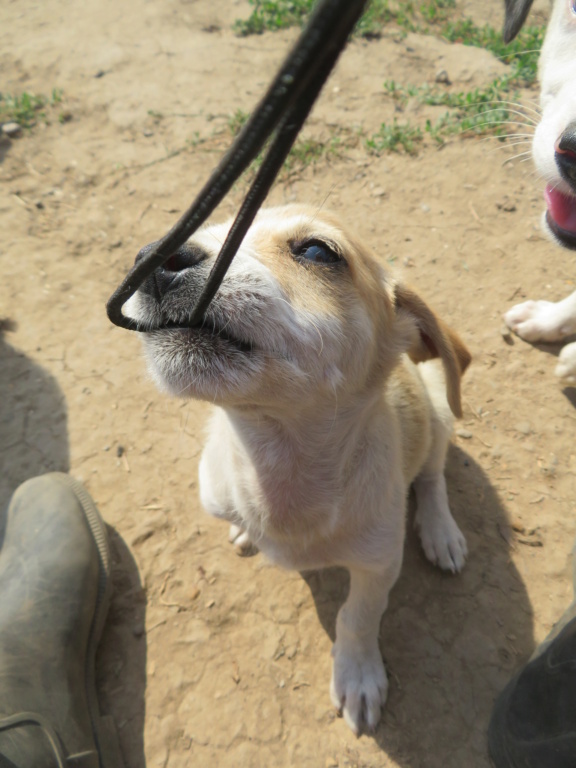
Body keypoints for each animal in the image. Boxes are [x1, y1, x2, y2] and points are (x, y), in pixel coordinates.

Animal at [125, 207, 468, 736]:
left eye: (317, 251)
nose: (155, 260)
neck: (280, 469)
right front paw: (245, 531)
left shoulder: (379, 564)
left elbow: (357, 617)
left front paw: (357, 675)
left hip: (440, 410)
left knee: (432, 475)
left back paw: (440, 531)